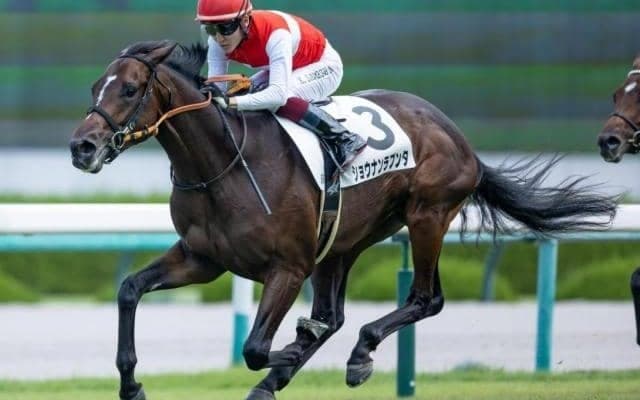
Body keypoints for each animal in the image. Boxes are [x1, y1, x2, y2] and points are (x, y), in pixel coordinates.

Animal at [70, 40, 618, 400]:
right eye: (96, 85)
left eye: (131, 89)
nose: (82, 147)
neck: (221, 165)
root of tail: (459, 138)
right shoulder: (203, 259)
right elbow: (129, 290)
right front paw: (131, 384)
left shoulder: (287, 267)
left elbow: (255, 346)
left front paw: (288, 355)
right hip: (343, 241)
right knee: (333, 316)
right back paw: (285, 377)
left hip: (427, 214)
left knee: (425, 298)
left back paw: (356, 355)